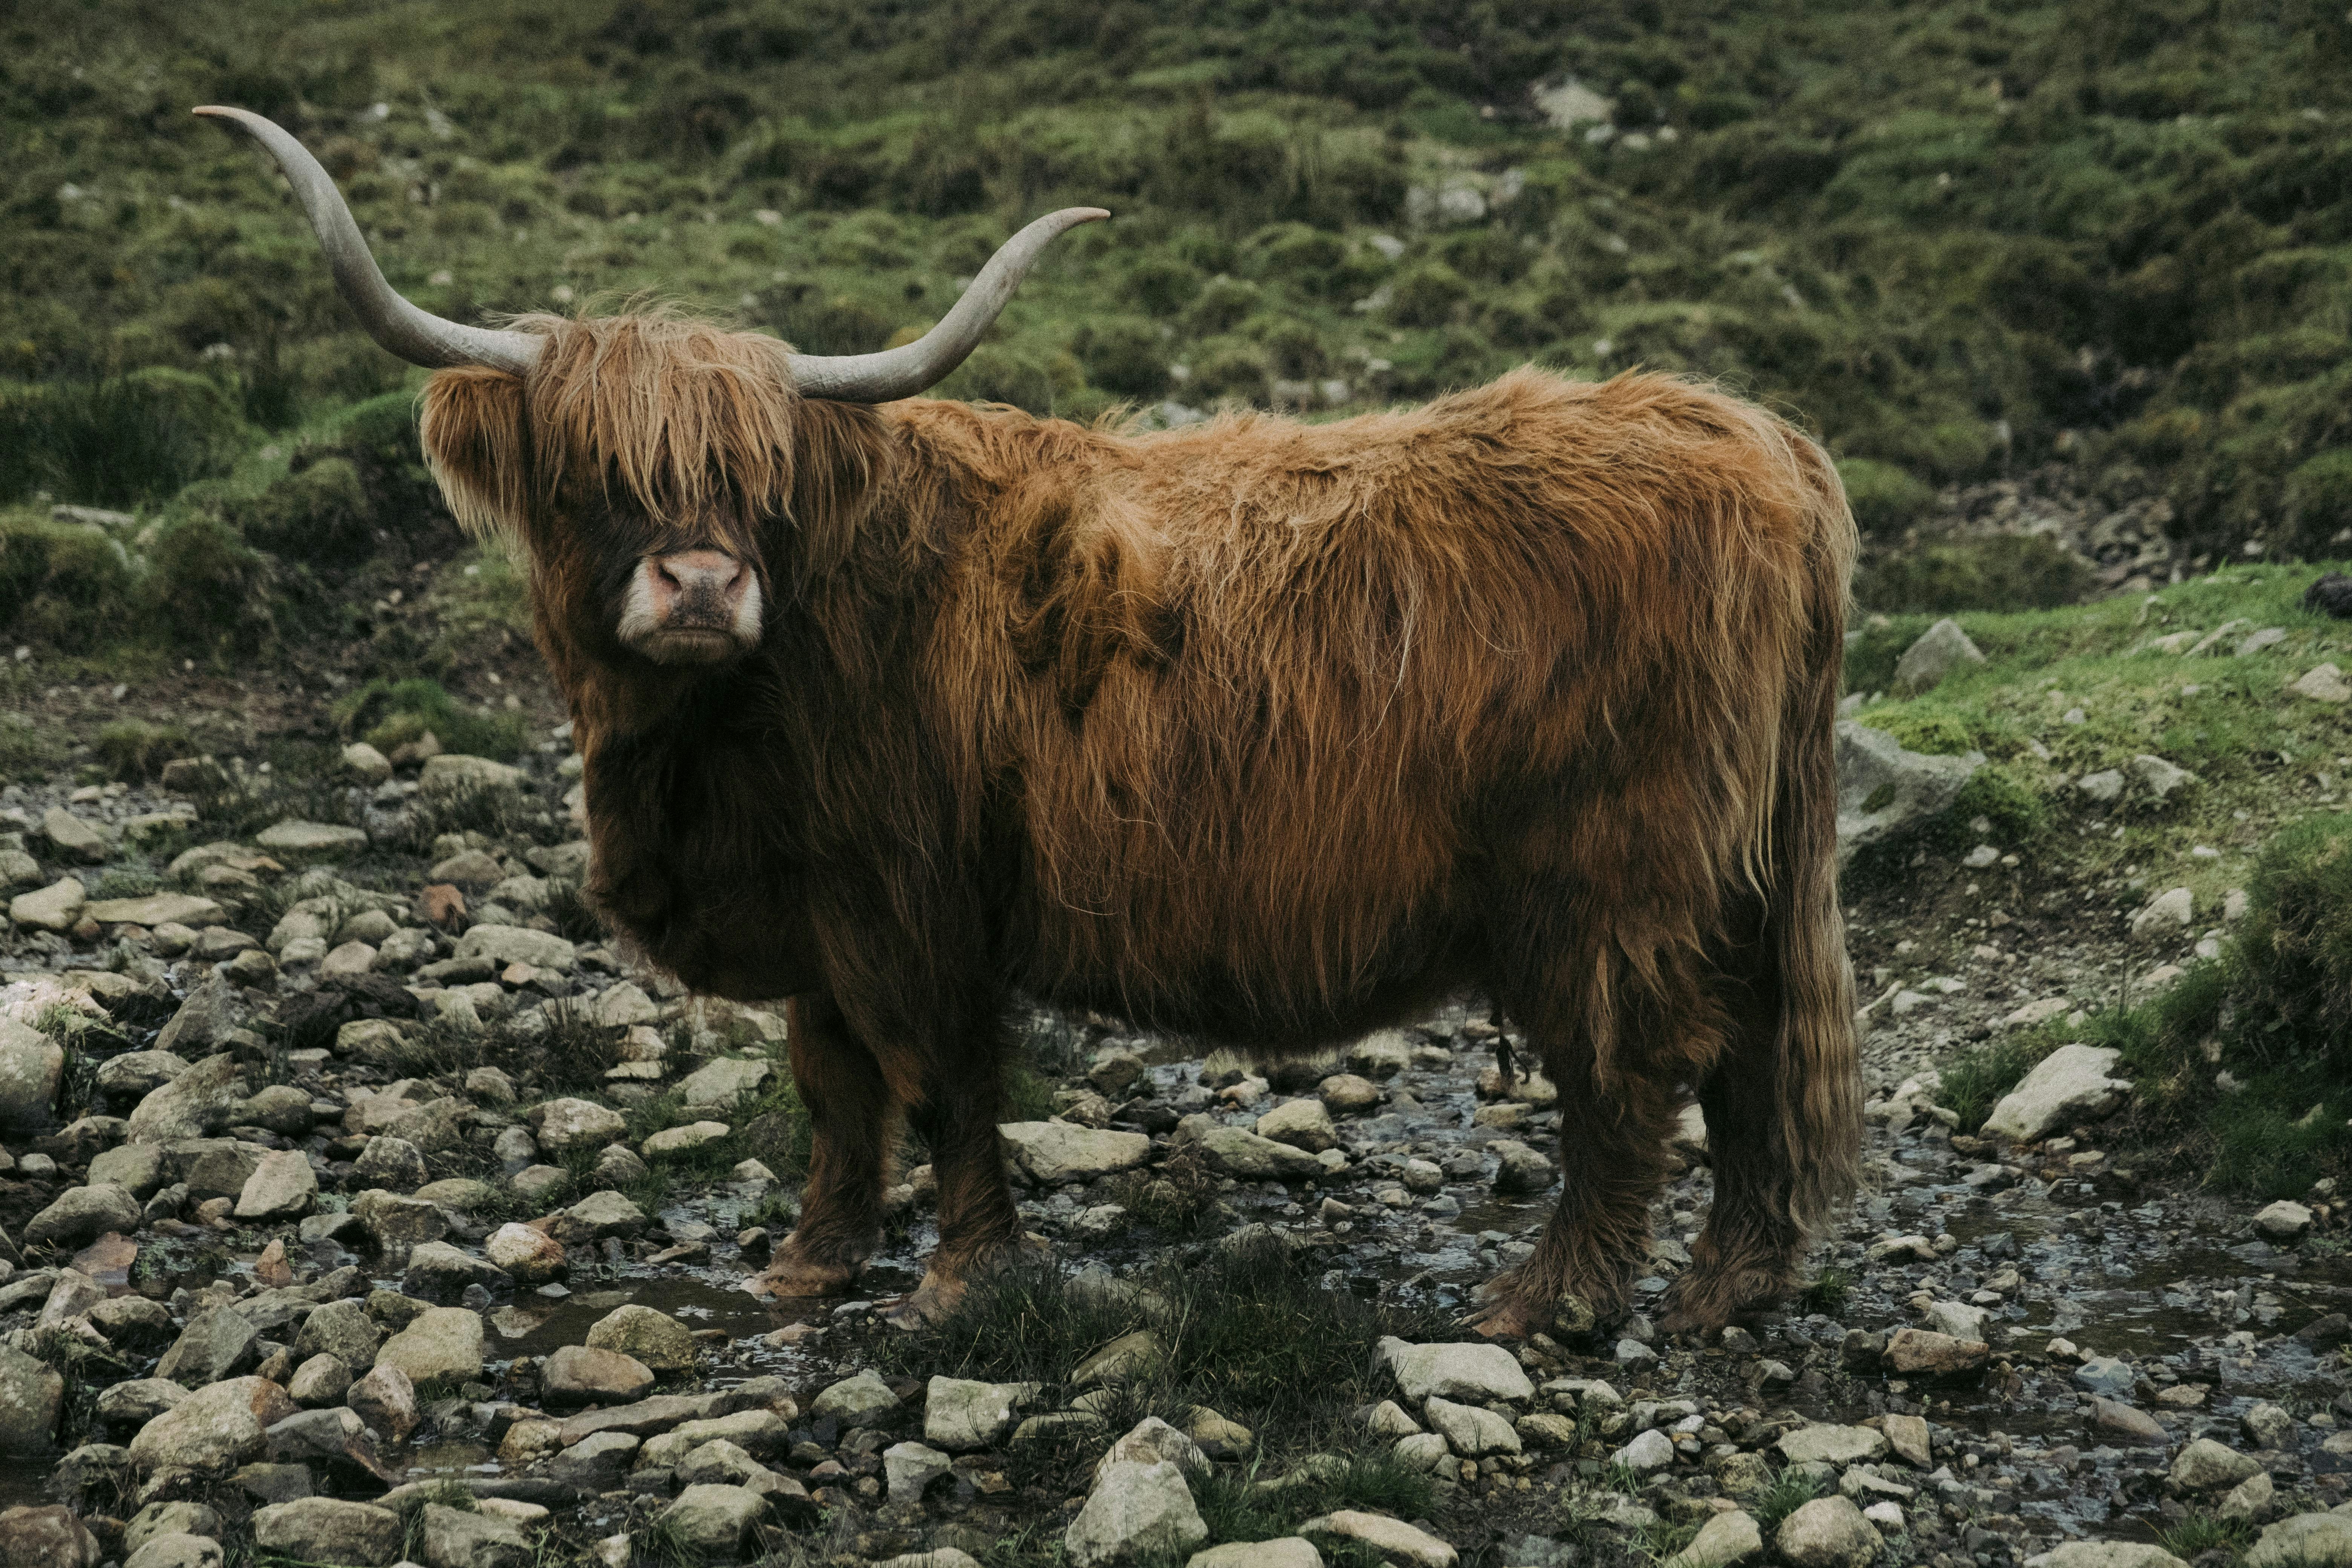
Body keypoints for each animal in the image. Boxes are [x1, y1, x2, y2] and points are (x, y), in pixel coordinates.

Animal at [200, 106, 1861, 1338]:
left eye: (758, 477)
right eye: (585, 466)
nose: (702, 583)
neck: (709, 738)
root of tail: (1753, 435)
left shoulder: (912, 899)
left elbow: (942, 1082)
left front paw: (958, 1279)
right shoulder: (820, 911)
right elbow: (832, 1087)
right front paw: (809, 1261)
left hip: (1603, 880)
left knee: (1637, 1065)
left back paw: (1548, 1297)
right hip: (1735, 870)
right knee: (1751, 1044)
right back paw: (1730, 1284)